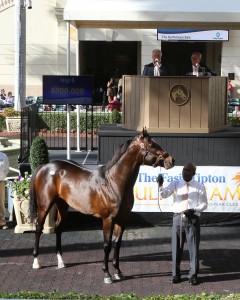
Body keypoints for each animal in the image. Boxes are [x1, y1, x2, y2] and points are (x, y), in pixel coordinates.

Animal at [29, 127, 174, 282]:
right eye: (152, 144)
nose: (171, 160)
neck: (114, 182)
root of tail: (45, 166)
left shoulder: (122, 219)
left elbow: (118, 244)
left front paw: (118, 272)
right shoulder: (108, 220)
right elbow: (107, 245)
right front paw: (107, 274)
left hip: (62, 206)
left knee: (58, 228)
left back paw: (61, 262)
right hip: (44, 206)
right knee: (38, 229)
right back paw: (36, 262)